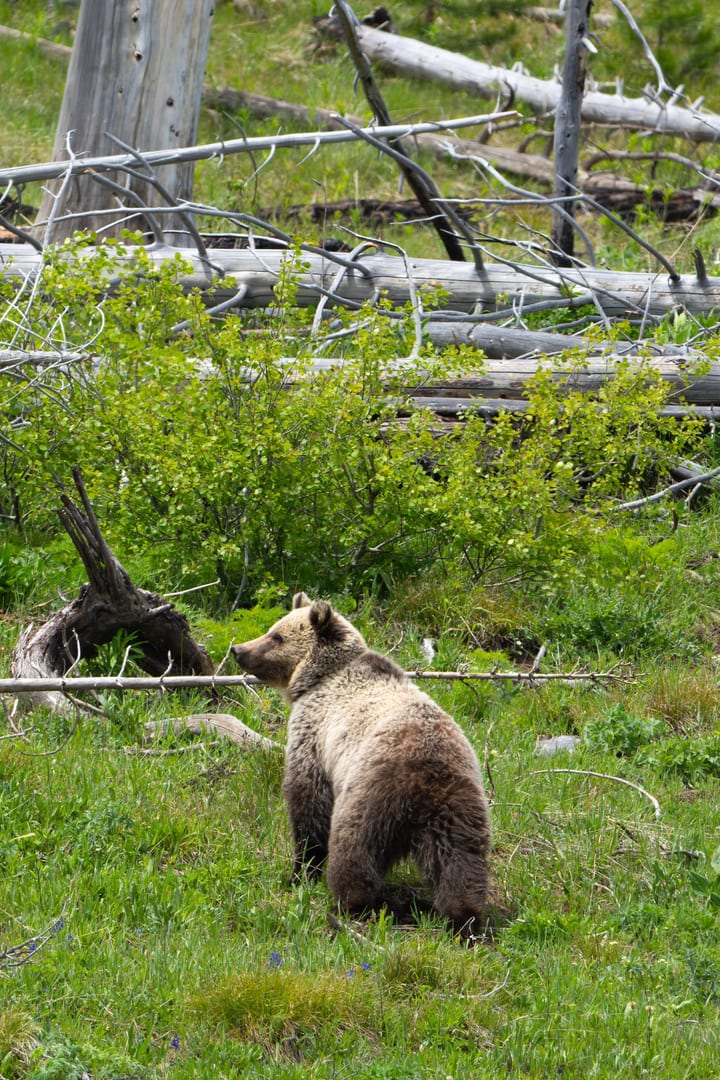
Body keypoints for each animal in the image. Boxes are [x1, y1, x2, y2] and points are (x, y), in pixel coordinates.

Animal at [231, 592, 492, 938]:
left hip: (371, 791)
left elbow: (308, 803)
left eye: (276, 636)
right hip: (458, 806)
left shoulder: (313, 733)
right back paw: (465, 917)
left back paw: (351, 900)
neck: (318, 678)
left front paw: (300, 871)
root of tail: (425, 774)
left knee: (354, 846)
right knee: (460, 861)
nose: (238, 650)